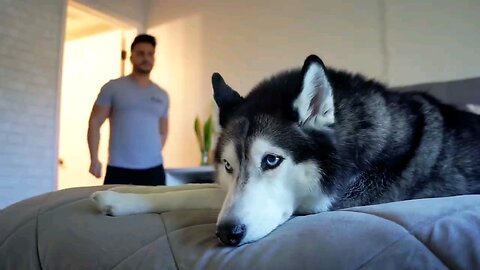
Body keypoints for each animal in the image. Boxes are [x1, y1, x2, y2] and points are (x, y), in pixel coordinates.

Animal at [92, 54, 480, 247]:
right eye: (228, 166)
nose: (227, 234)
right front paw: (120, 192)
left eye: (272, 160)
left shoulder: (324, 203)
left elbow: (195, 195)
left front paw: (120, 198)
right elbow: (192, 189)